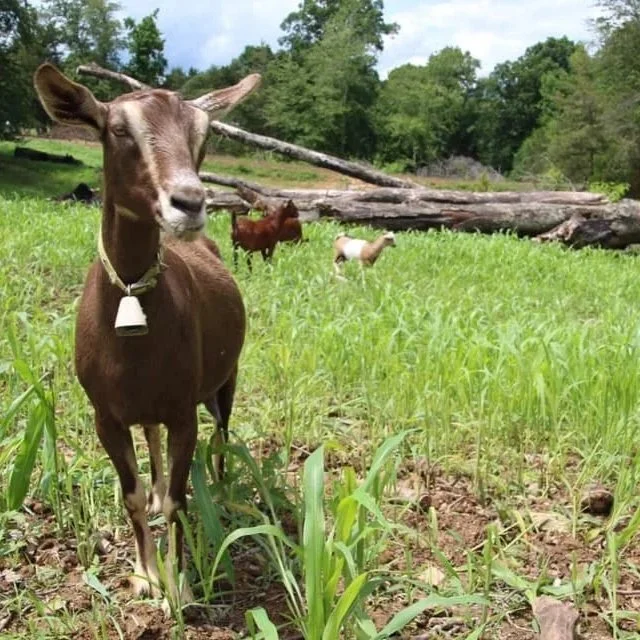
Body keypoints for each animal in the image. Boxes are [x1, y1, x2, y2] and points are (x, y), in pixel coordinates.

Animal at [34, 63, 260, 610]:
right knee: (151, 442)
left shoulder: (182, 411)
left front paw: (178, 585)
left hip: (225, 380)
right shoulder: (105, 415)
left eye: (203, 135)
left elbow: (179, 499)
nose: (189, 202)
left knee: (222, 436)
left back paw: (222, 492)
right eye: (118, 129)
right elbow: (132, 494)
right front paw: (144, 573)